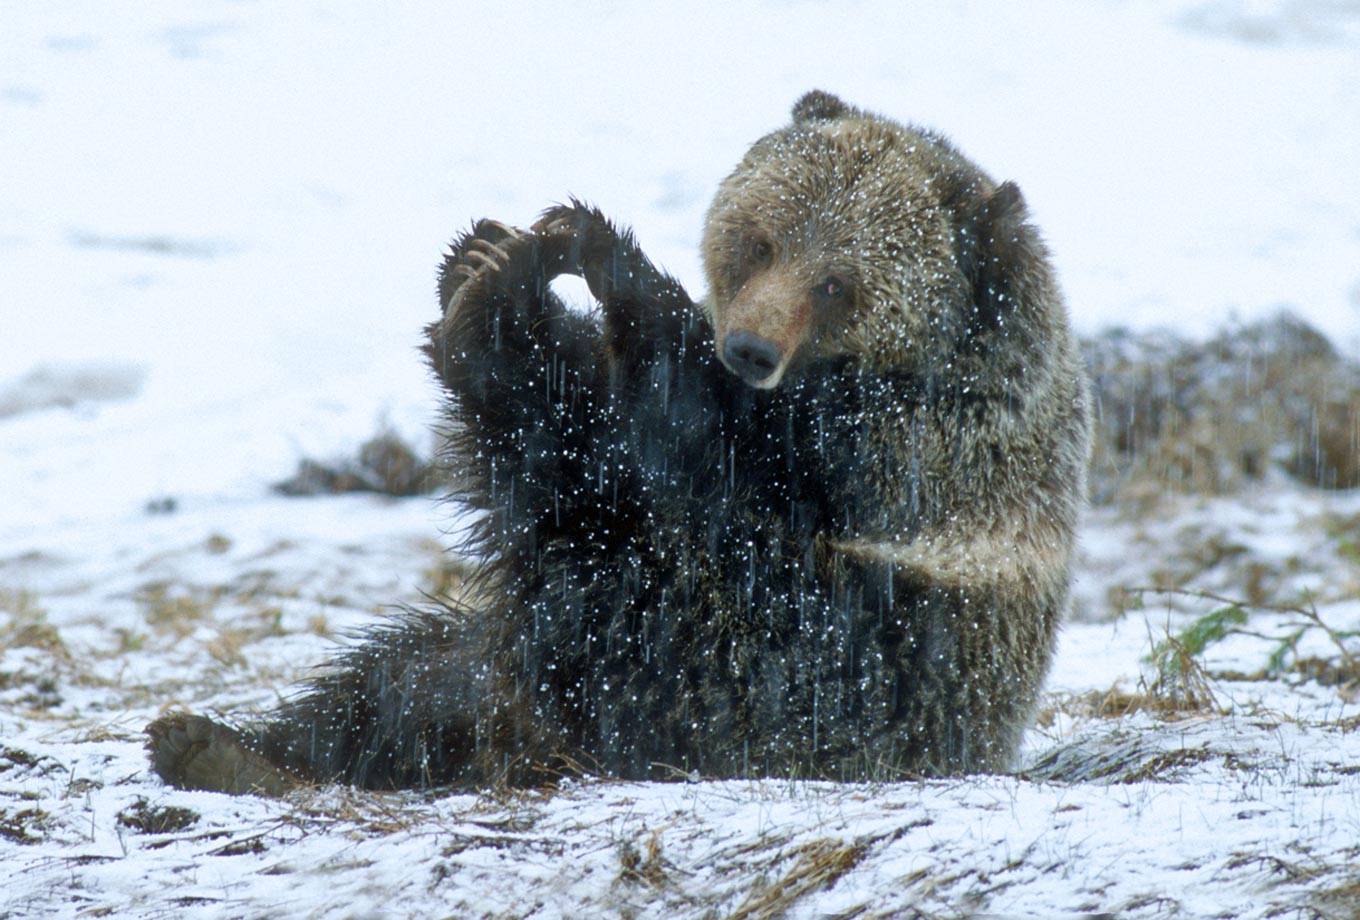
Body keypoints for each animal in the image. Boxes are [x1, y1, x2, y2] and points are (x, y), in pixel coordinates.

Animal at [148, 91, 1088, 789]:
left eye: (838, 283)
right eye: (761, 240)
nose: (748, 346)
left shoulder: (904, 453)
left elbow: (698, 434)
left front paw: (583, 247)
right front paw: (490, 248)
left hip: (810, 662)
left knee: (598, 562)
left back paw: (491, 321)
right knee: (402, 678)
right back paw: (221, 745)